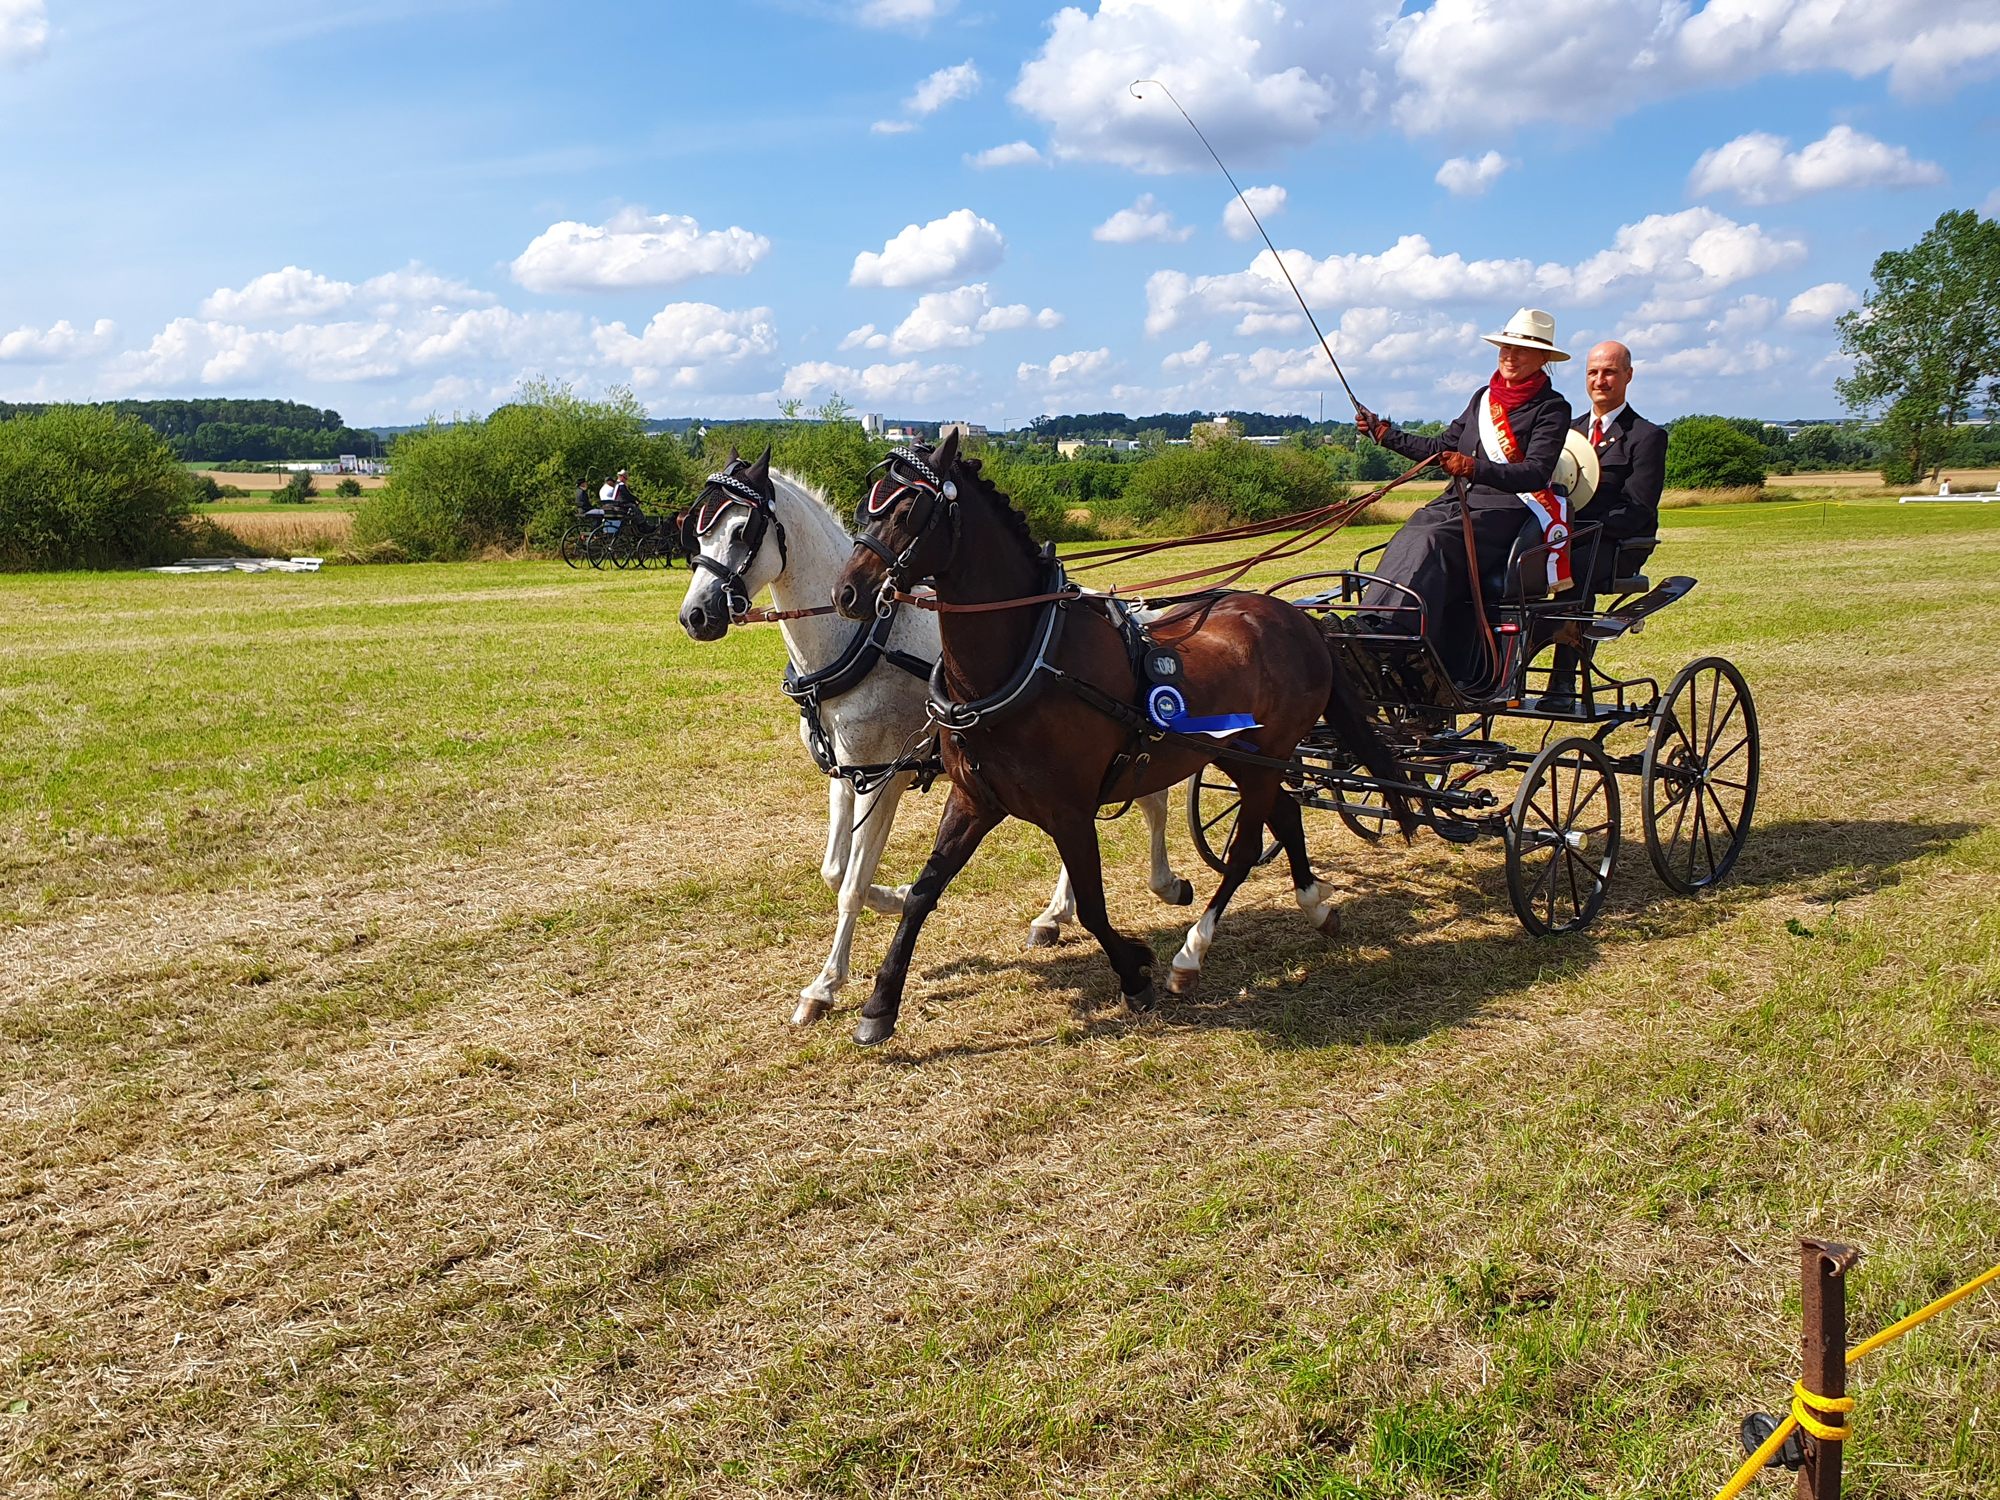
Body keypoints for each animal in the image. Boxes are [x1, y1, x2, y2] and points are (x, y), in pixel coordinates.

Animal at [676, 448, 1193, 1027]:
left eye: (743, 529)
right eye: (695, 532)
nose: (695, 615)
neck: (860, 642)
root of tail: (1128, 611)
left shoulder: (884, 780)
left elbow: (852, 885)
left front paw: (826, 984)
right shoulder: (846, 775)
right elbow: (835, 870)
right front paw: (897, 896)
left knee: (1152, 803)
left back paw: (1166, 885)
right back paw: (1056, 913)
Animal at [831, 432, 1410, 1046]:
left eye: (908, 511)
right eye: (867, 506)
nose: (847, 592)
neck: (1029, 660)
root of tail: (1299, 621)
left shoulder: (1068, 812)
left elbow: (1091, 907)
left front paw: (1134, 971)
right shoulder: (973, 800)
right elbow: (922, 894)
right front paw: (879, 1005)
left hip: (1265, 756)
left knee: (1245, 850)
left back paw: (1192, 953)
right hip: (1247, 757)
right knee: (1285, 813)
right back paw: (1315, 905)